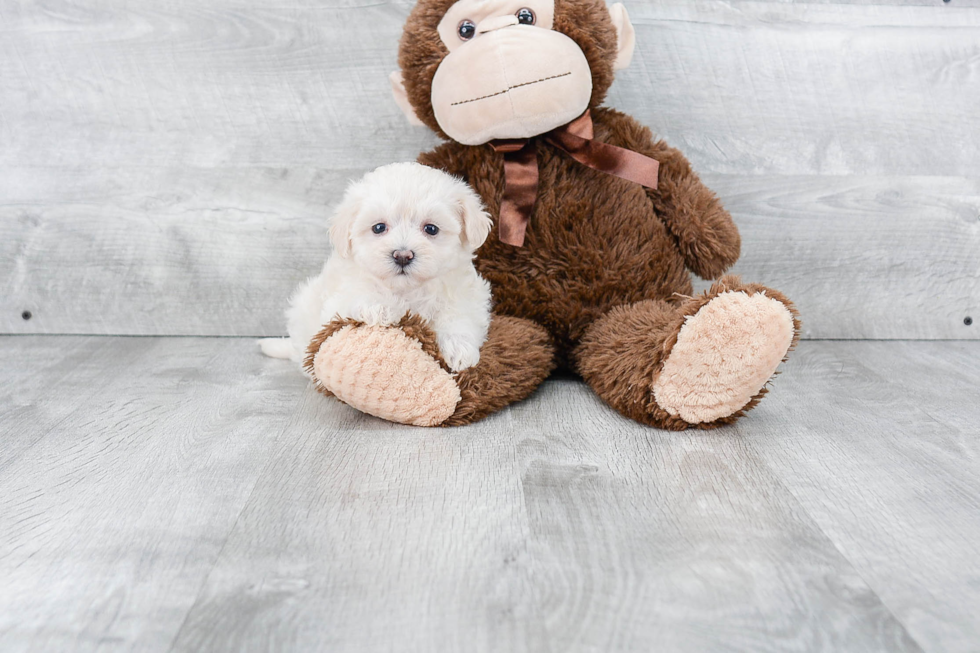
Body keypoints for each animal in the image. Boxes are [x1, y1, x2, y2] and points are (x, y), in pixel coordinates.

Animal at [260, 162, 494, 372]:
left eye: (431, 229)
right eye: (379, 227)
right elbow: (360, 296)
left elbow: (459, 314)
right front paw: (381, 306)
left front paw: (459, 347)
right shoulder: (338, 301)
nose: (402, 256)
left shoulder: (468, 295)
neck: (408, 290)